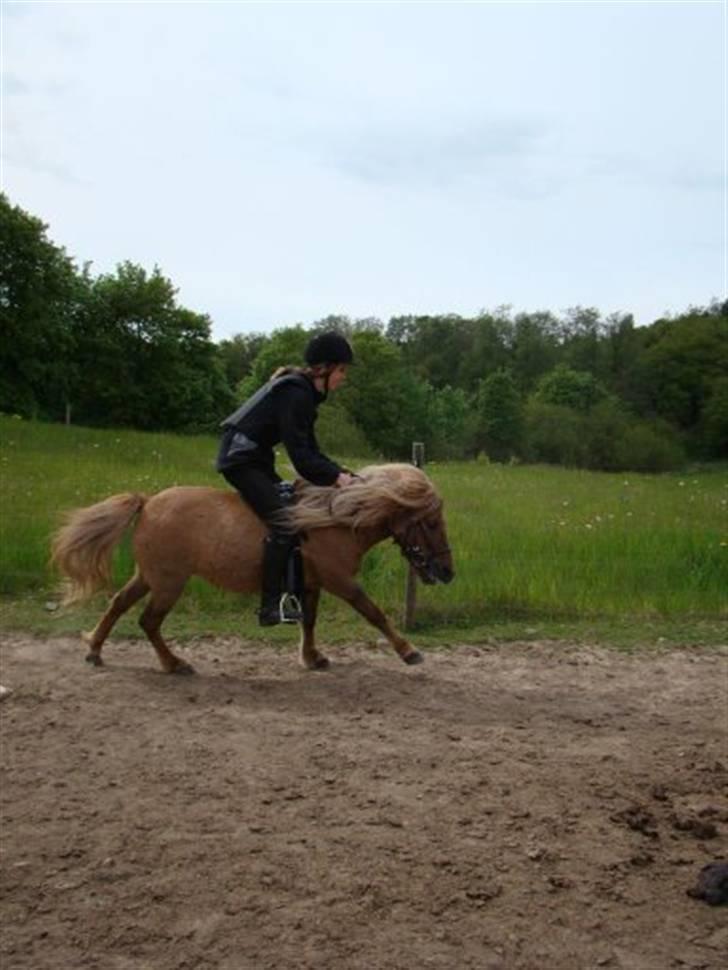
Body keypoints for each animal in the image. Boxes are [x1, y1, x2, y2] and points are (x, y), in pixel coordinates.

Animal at [52, 462, 456, 672]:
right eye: (432, 523)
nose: (448, 573)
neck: (334, 520)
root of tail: (148, 502)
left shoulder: (312, 583)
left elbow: (309, 621)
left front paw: (312, 657)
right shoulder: (340, 580)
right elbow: (373, 613)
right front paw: (408, 651)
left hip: (151, 576)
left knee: (119, 604)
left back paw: (95, 650)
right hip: (169, 582)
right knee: (148, 621)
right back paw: (174, 663)